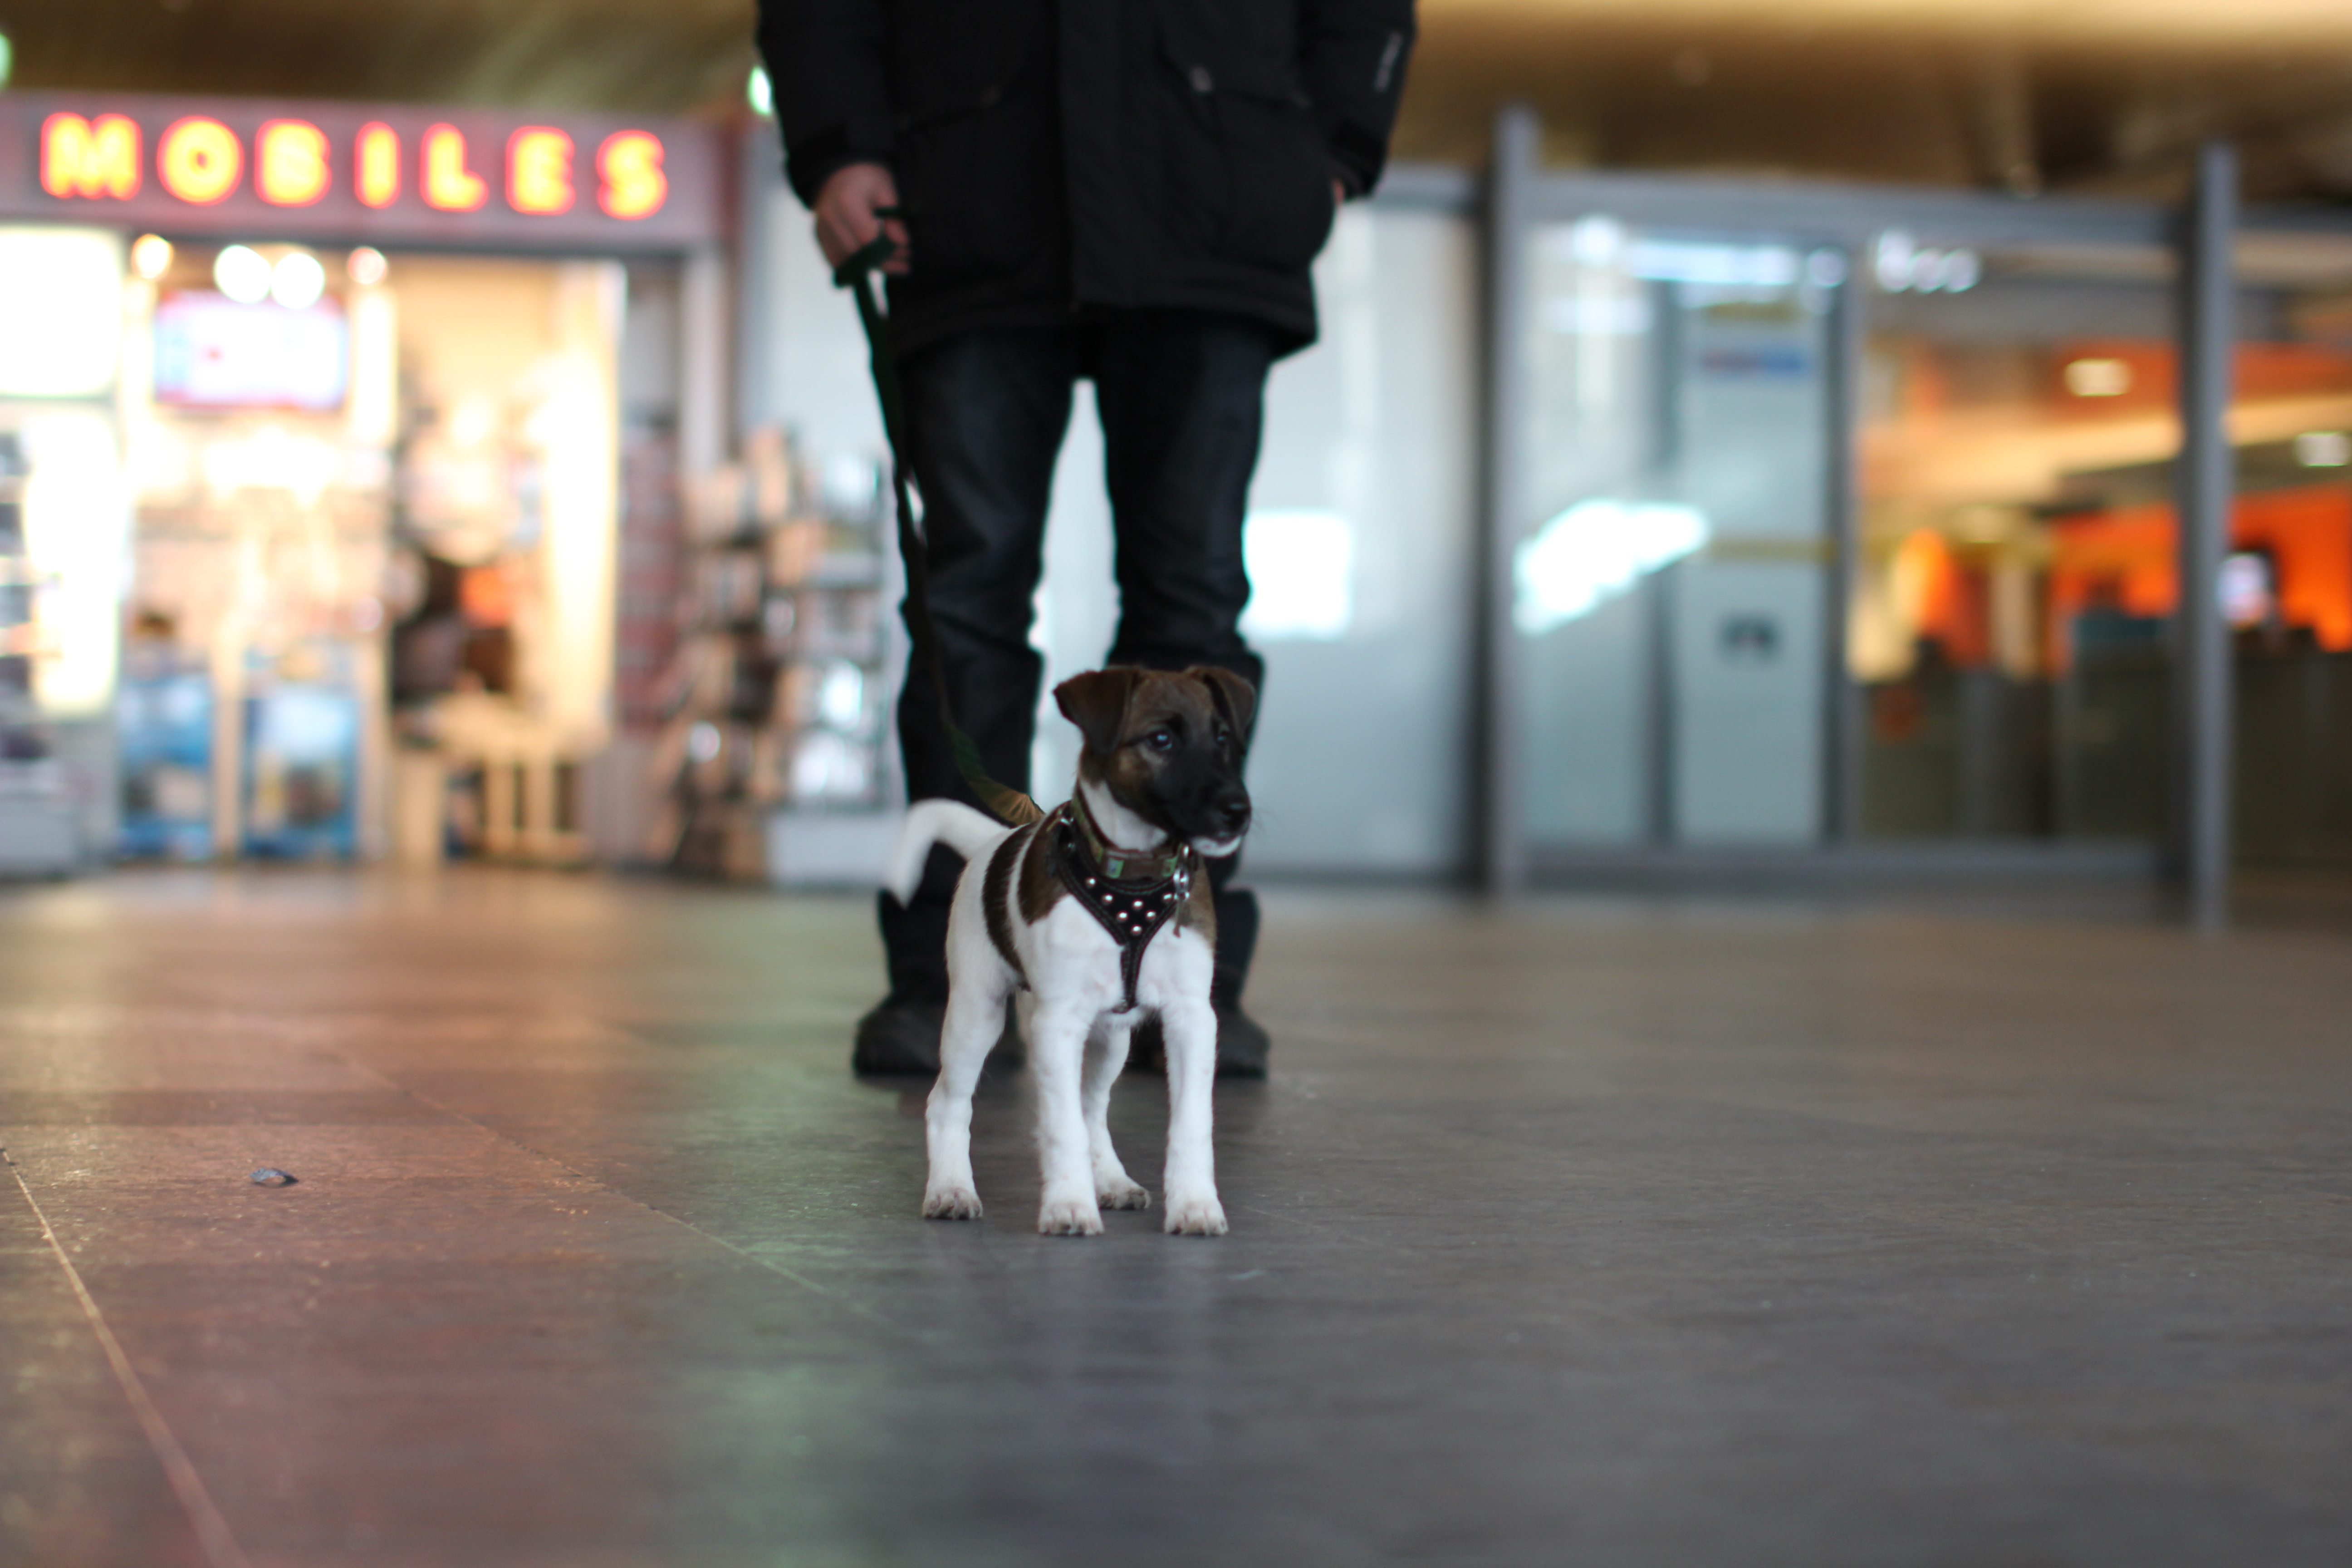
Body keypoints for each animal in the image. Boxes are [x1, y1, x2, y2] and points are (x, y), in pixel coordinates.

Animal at [884, 663, 1251, 1241]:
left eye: (1222, 740)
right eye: (1161, 740)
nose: (1239, 811)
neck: (1134, 881)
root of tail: (997, 842)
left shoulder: (1192, 1019)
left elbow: (1191, 1123)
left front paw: (1195, 1204)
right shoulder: (1057, 1024)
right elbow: (1062, 1128)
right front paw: (1069, 1205)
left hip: (1111, 1038)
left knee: (1091, 1107)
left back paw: (1112, 1179)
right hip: (976, 1015)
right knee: (949, 1102)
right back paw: (951, 1189)